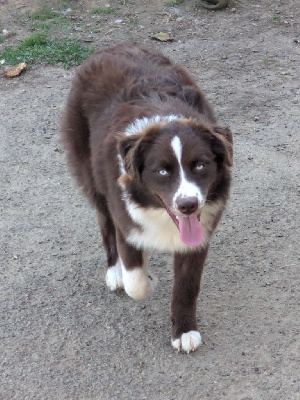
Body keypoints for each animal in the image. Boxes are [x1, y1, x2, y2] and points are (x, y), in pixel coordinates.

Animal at [61, 42, 233, 352]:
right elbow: (136, 283)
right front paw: (147, 278)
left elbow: (187, 287)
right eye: (162, 171)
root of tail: (110, 47)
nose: (187, 205)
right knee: (105, 226)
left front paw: (184, 331)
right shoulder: (126, 219)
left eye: (201, 166)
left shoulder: (199, 234)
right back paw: (114, 271)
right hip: (91, 178)